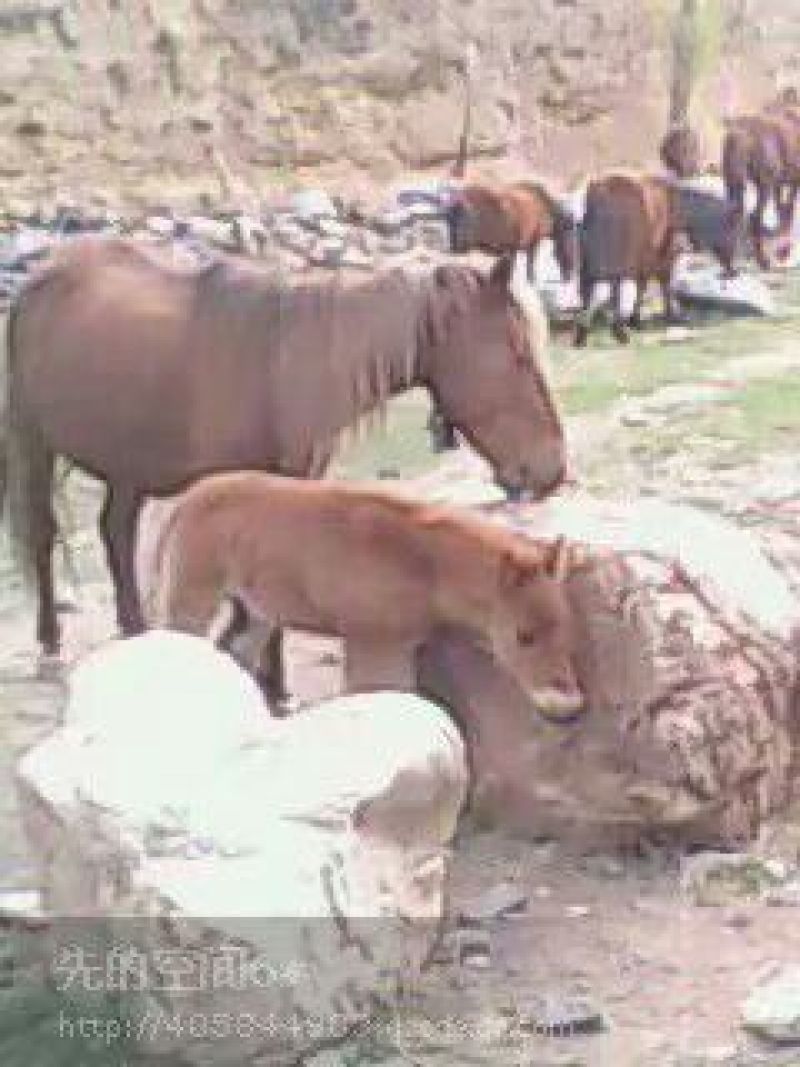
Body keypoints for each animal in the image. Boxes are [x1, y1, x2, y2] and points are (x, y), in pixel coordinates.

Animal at [1, 236, 567, 698]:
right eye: (517, 353)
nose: (553, 468)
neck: (279, 371)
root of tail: (42, 275)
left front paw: (272, 683)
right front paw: (263, 683)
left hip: (128, 465)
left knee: (115, 532)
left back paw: (138, 634)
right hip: (34, 444)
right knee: (43, 536)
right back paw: (50, 645)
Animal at [139, 469, 591, 724]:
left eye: (567, 631)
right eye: (523, 636)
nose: (569, 707)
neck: (426, 564)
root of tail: (184, 501)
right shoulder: (375, 644)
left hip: (259, 613)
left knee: (235, 652)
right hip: (192, 596)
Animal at [574, 173, 742, 346]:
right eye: (733, 230)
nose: (733, 271)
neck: (674, 207)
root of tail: (599, 193)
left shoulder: (645, 263)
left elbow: (645, 287)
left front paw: (637, 319)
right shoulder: (659, 259)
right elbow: (660, 286)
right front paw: (665, 316)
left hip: (589, 262)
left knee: (588, 291)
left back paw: (582, 334)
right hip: (614, 259)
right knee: (611, 291)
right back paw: (618, 332)